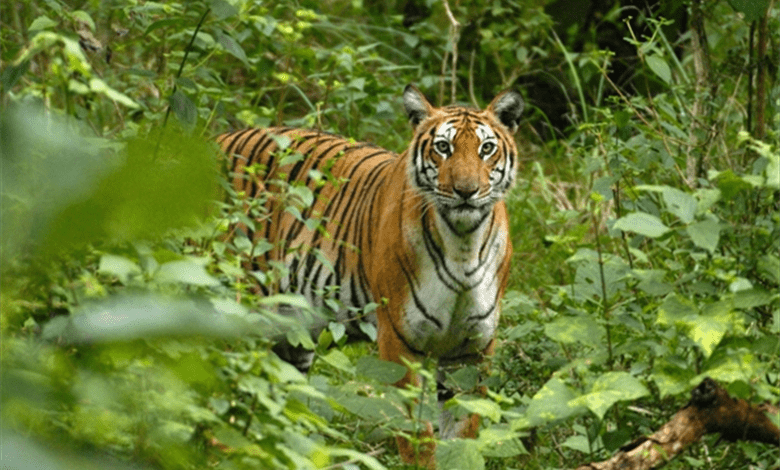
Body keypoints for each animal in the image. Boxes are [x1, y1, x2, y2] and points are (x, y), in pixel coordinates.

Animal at [217, 84, 524, 468]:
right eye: (443, 147)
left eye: (486, 149)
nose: (466, 191)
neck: (462, 242)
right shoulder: (399, 340)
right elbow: (417, 437)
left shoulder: (473, 349)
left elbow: (463, 433)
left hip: (290, 336)